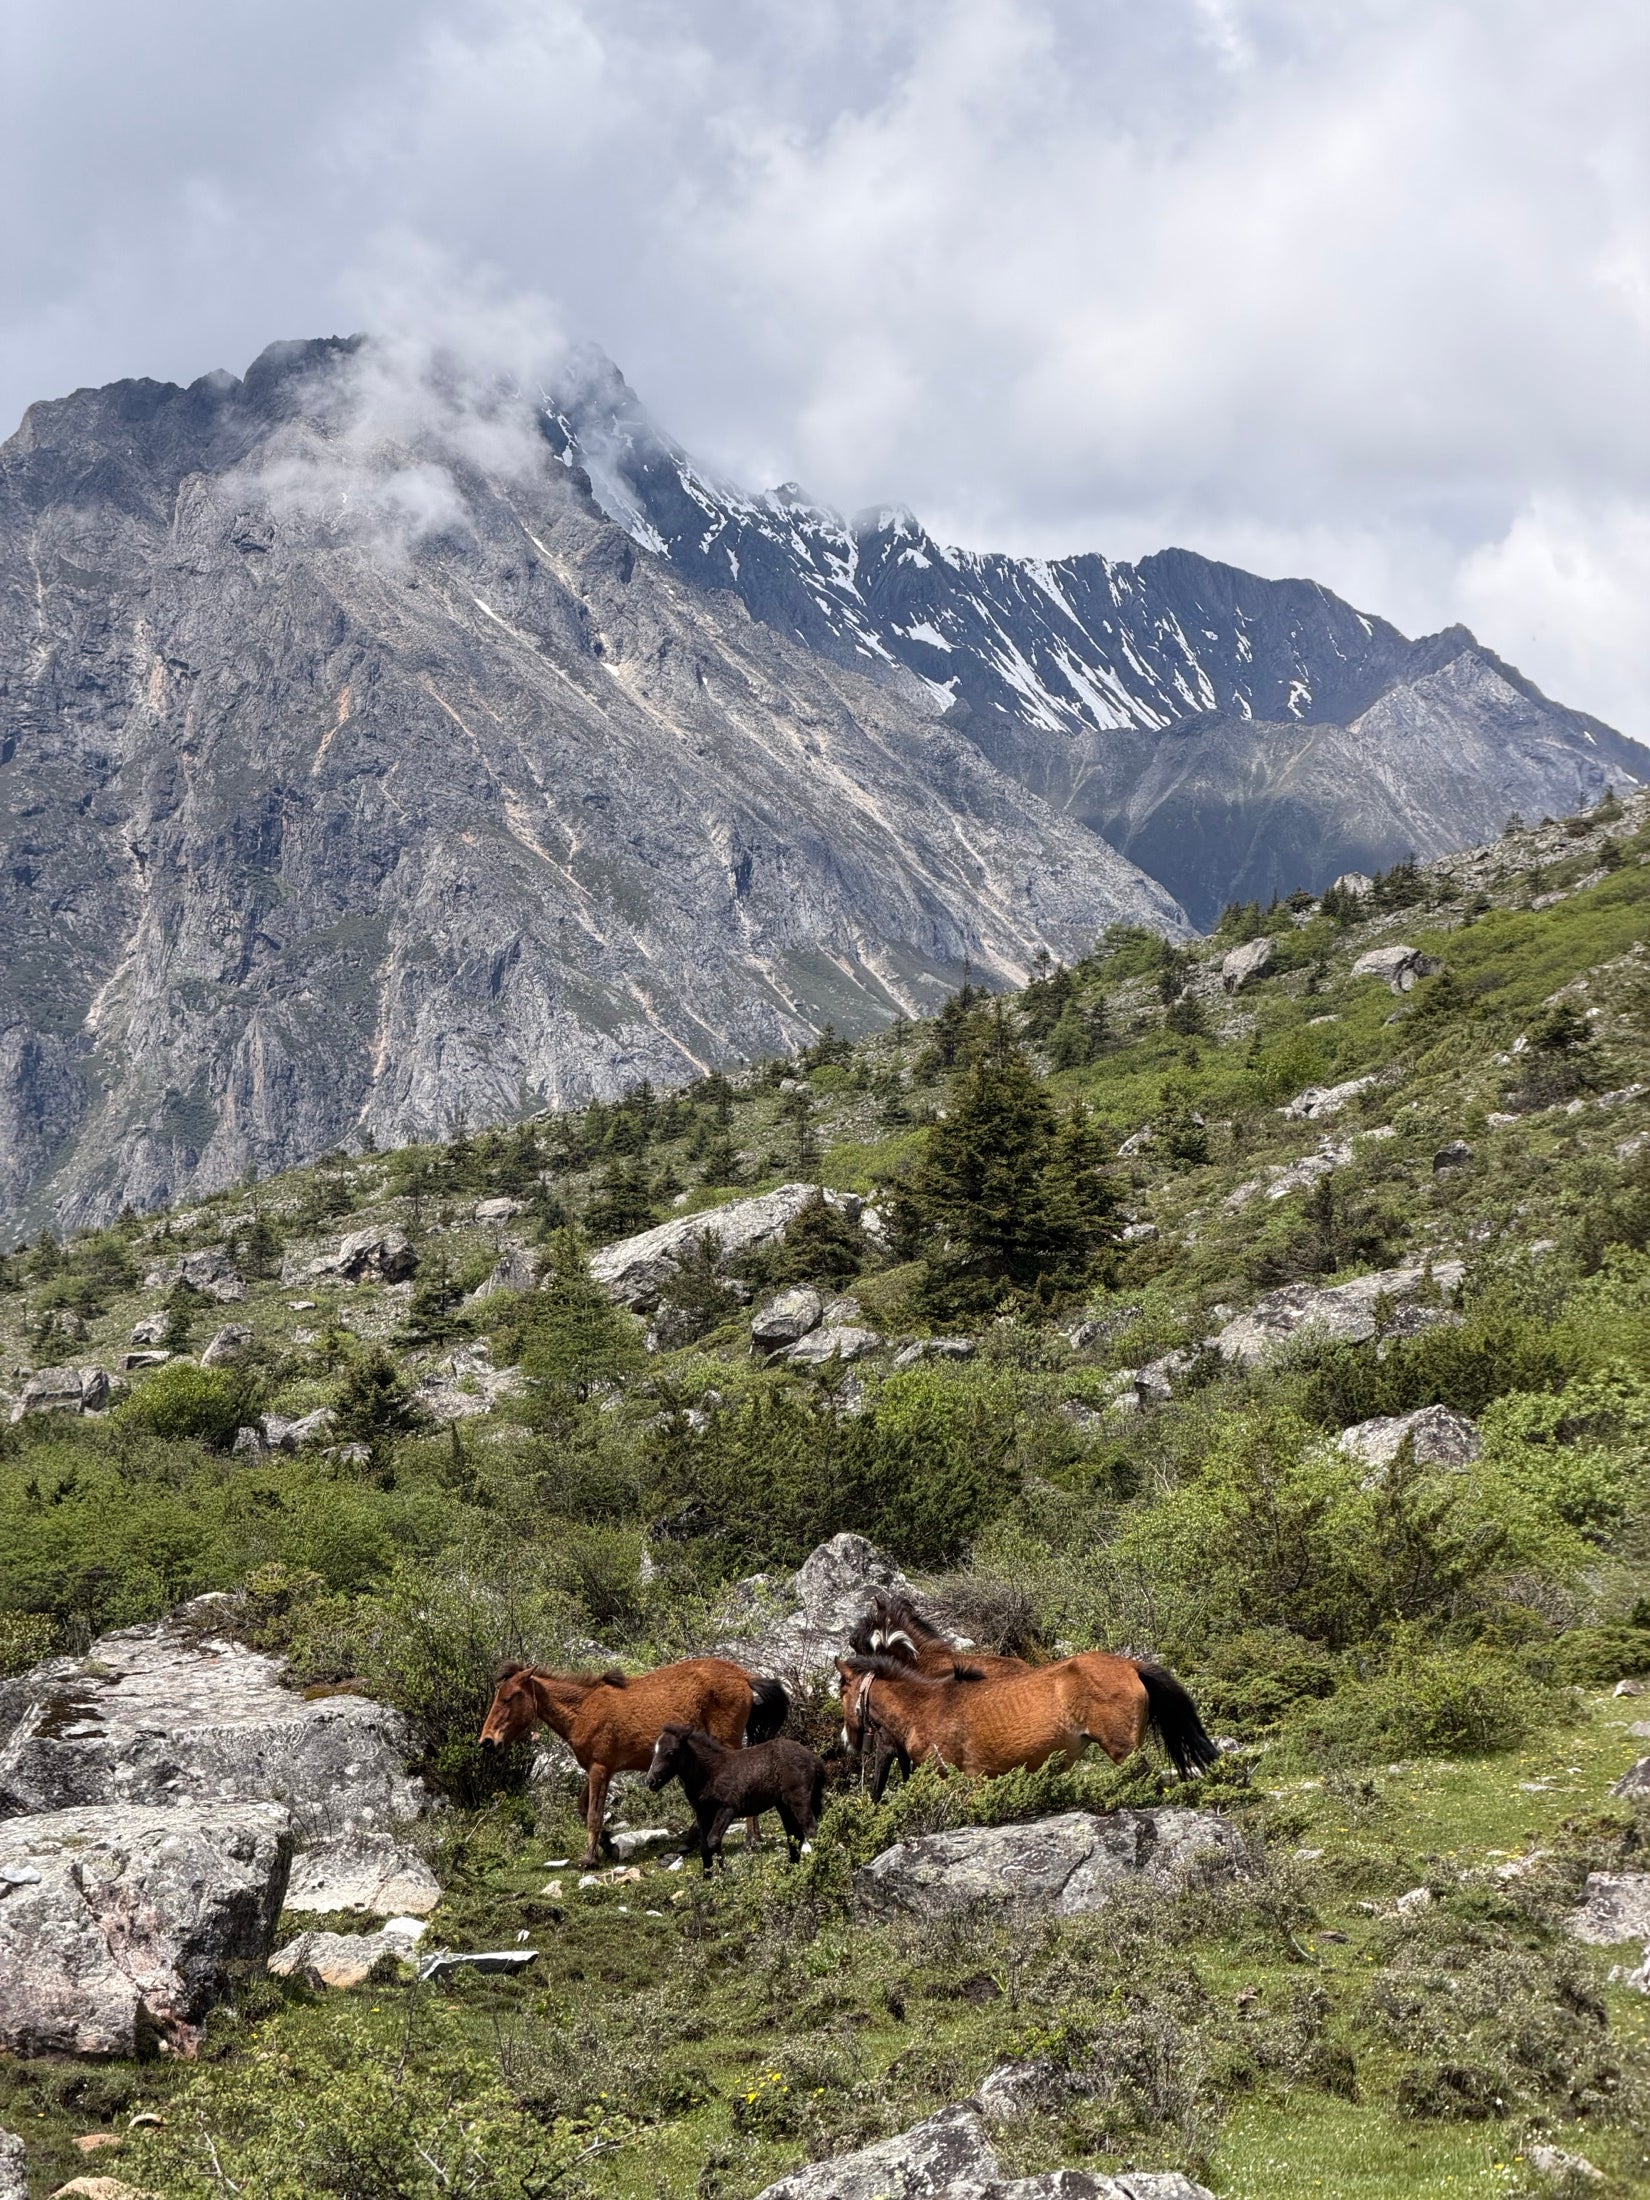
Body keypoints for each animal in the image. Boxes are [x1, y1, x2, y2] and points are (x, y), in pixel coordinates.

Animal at [480, 1657, 788, 1866]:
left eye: (507, 1698)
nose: (487, 1741)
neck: (584, 1710)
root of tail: (743, 1675)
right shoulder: (597, 1769)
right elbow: (583, 1809)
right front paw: (609, 1846)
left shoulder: (600, 1769)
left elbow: (593, 1814)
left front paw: (590, 1859)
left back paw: (750, 1840)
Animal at [646, 1723, 827, 1871]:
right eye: (653, 1751)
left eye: (671, 1752)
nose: (650, 1781)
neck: (710, 1773)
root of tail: (814, 1758)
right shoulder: (703, 1813)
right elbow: (705, 1845)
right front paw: (708, 1877)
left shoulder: (729, 1808)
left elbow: (713, 1840)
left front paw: (724, 1873)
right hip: (783, 1805)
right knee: (795, 1836)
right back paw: (791, 1870)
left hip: (799, 1799)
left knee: (811, 1830)